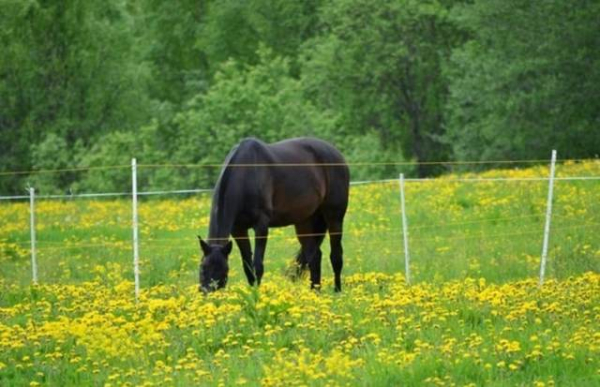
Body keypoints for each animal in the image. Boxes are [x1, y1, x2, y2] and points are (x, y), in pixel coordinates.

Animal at [197, 138, 350, 292]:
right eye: (202, 268)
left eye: (224, 270)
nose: (208, 293)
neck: (246, 175)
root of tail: (336, 153)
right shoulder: (238, 230)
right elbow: (247, 267)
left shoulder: (261, 226)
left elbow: (258, 266)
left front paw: (258, 294)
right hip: (304, 223)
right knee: (314, 257)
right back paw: (315, 292)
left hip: (334, 217)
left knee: (336, 256)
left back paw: (337, 291)